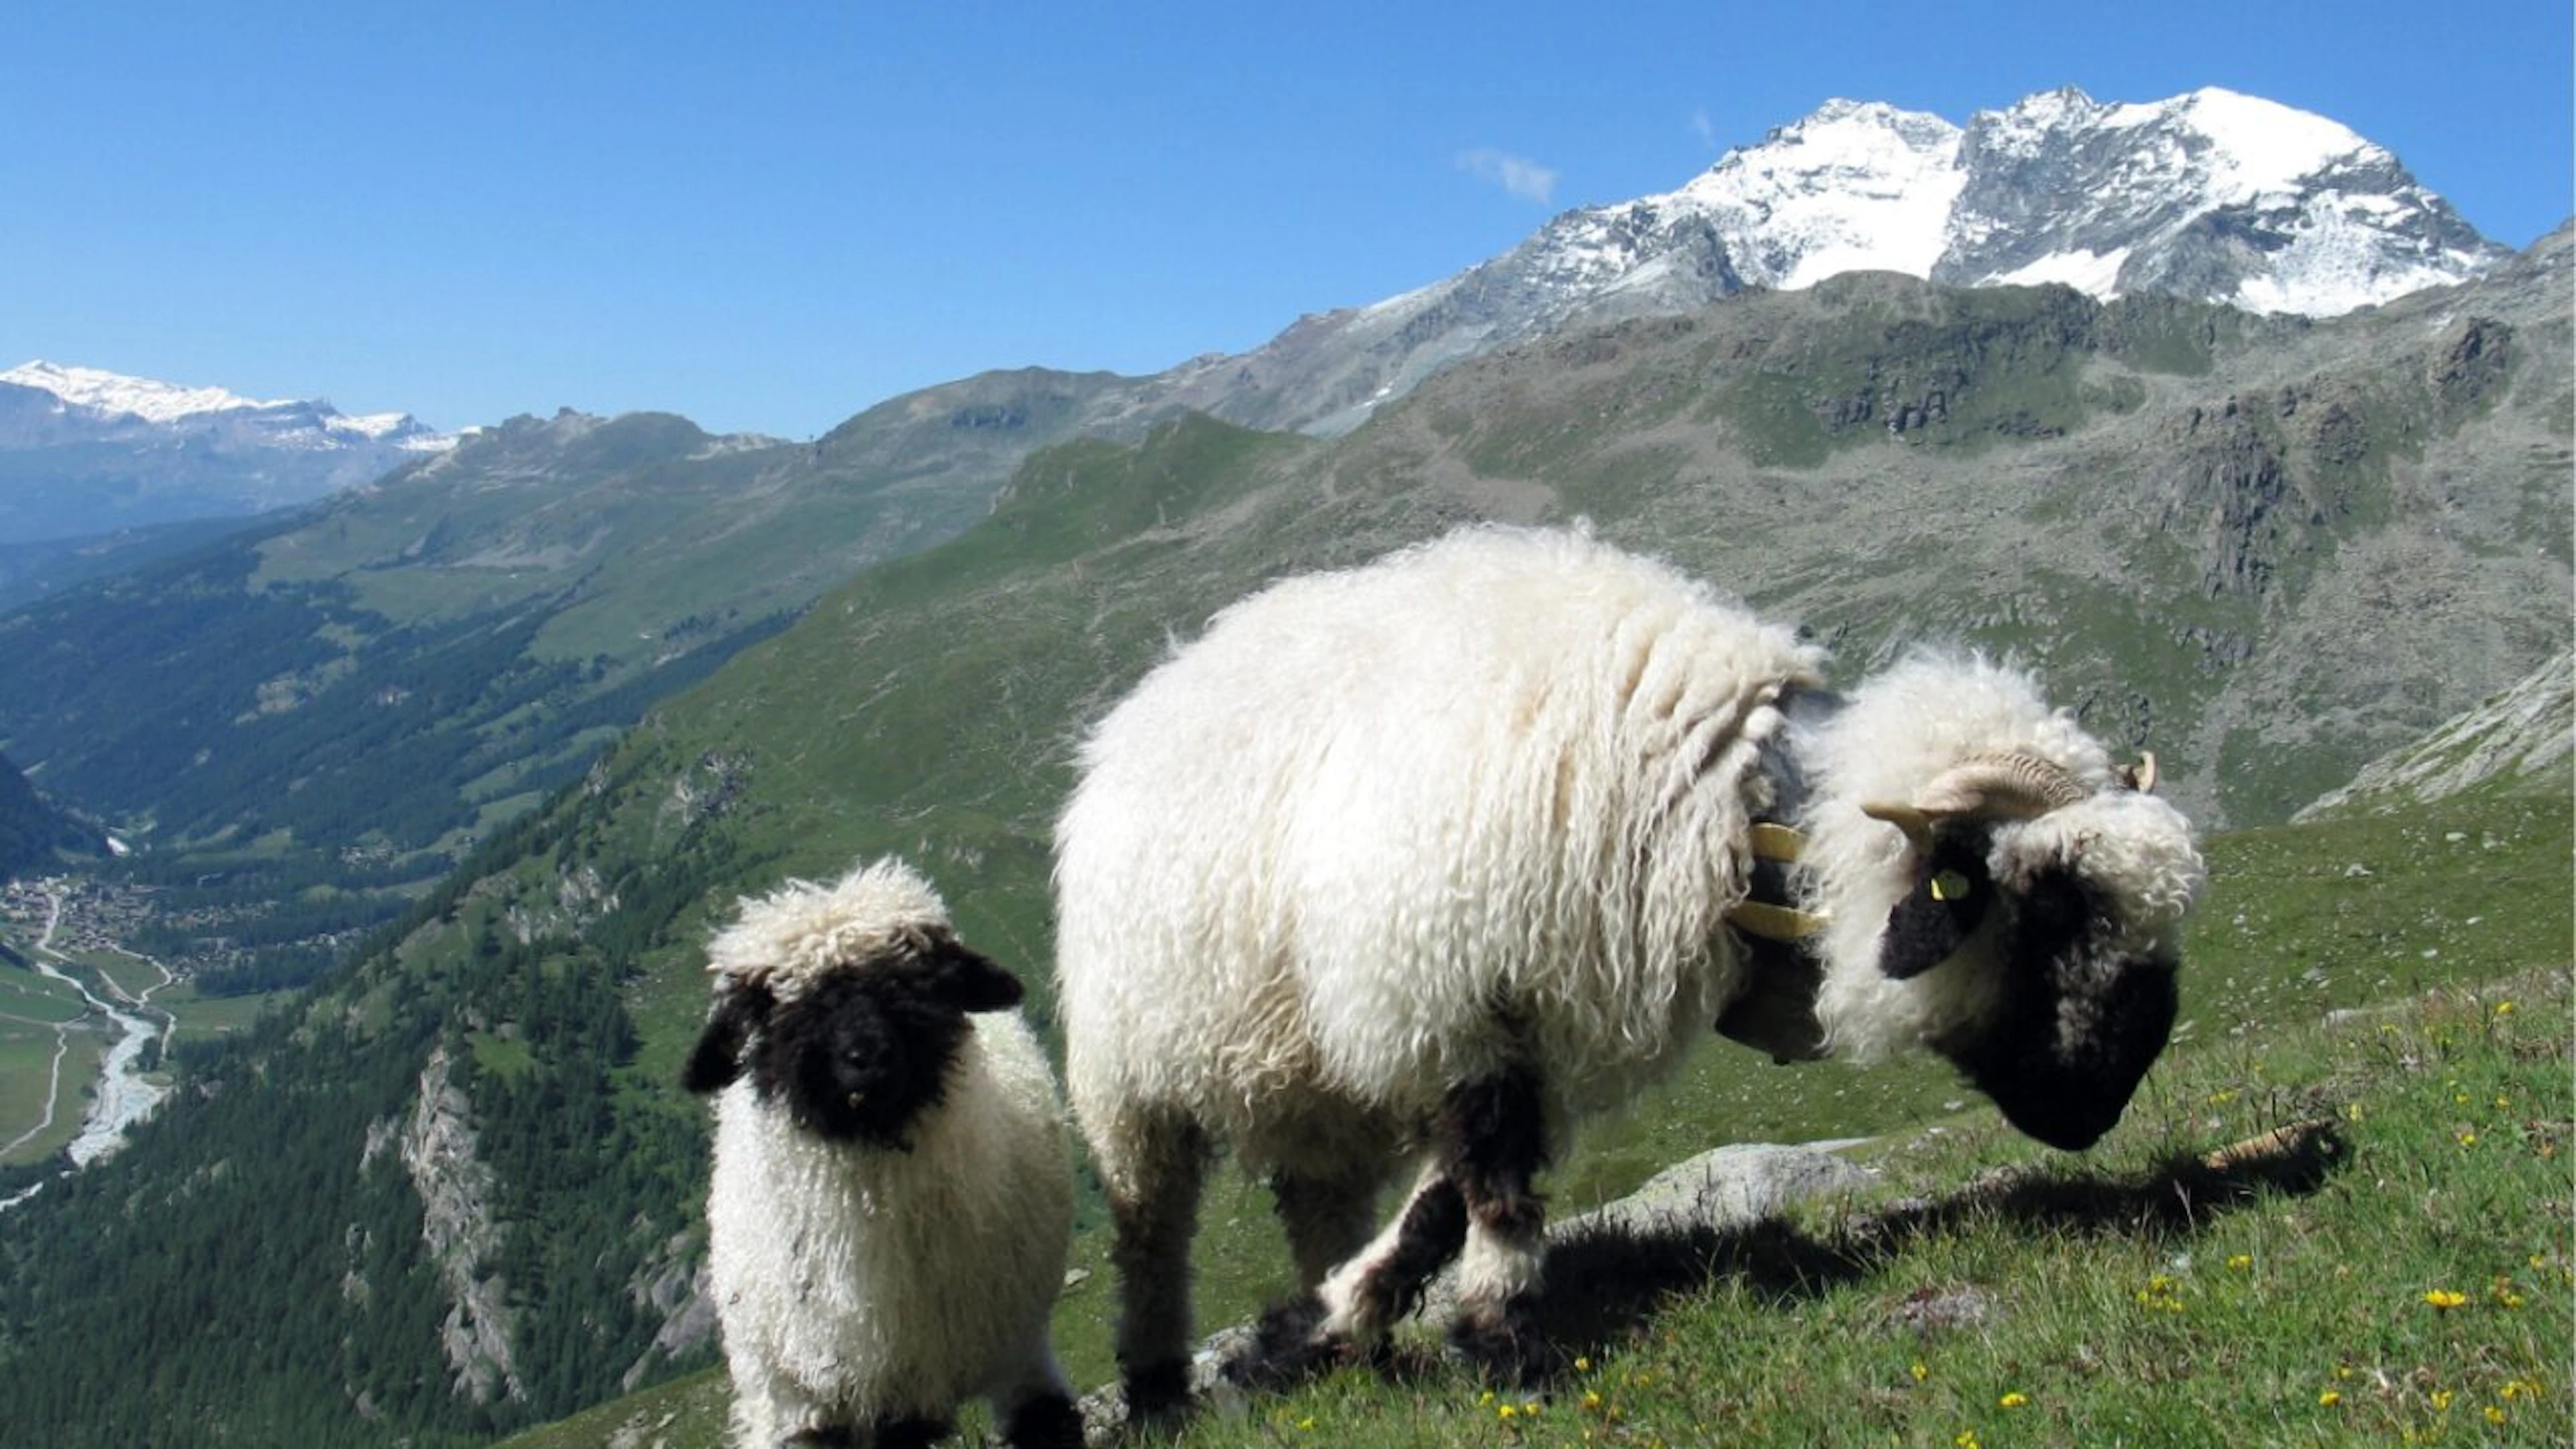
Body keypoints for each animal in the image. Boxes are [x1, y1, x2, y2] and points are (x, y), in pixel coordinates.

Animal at [1052, 524, 2203, 1413]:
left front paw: (1336, 1321)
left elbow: (1439, 1206)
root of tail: (1158, 691)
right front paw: (1508, 1349)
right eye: (2052, 901)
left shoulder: (1518, 1023)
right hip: (1128, 1074)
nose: (2110, 1098)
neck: (1727, 801)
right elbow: (1493, 1189)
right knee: (1150, 1233)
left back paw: (1346, 1345)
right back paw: (1156, 1386)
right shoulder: (1458, 998)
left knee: (1314, 1203)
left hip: (1313, 1087)